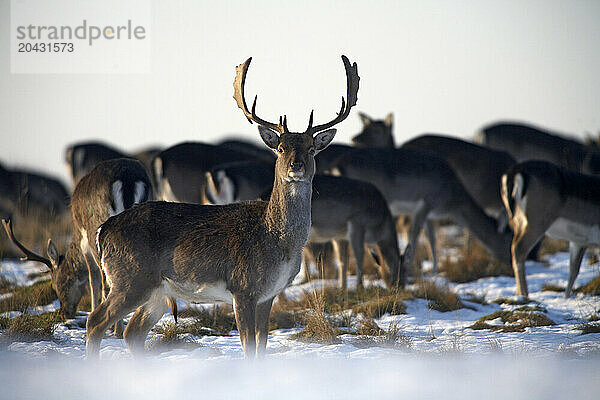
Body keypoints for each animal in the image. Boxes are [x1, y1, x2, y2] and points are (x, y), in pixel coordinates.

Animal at [2, 158, 152, 320]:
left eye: (54, 285)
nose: (64, 313)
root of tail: (127, 179)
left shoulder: (85, 243)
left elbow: (93, 278)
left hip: (97, 230)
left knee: (107, 281)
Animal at [84, 54, 356, 358]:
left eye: (311, 148)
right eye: (281, 148)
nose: (296, 166)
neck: (279, 242)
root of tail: (104, 230)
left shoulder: (269, 294)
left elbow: (262, 345)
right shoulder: (243, 287)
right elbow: (249, 346)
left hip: (157, 291)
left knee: (133, 332)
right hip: (130, 277)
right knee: (95, 321)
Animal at [502, 159, 600, 296]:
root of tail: (517, 169)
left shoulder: (578, 242)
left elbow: (573, 271)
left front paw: (566, 297)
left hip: (517, 222)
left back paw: (517, 295)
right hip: (536, 222)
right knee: (519, 249)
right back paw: (525, 295)